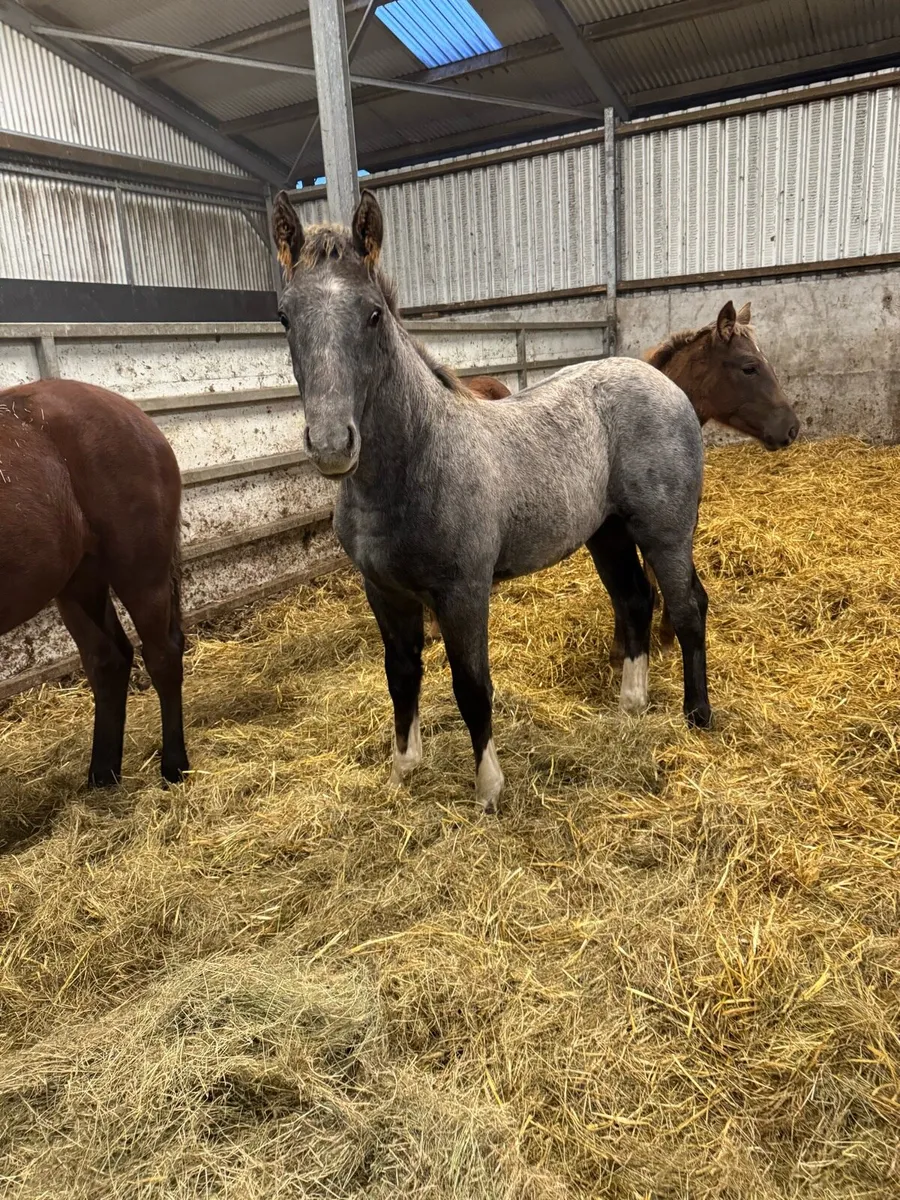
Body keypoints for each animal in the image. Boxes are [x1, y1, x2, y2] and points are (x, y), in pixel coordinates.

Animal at [0, 380, 188, 787]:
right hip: (79, 584)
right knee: (108, 661)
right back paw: (103, 773)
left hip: (140, 575)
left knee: (162, 656)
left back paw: (174, 765)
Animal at [272, 189, 710, 813]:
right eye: (285, 316)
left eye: (373, 313)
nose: (332, 444)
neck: (414, 464)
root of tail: (664, 384)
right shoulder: (383, 591)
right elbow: (400, 673)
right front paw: (404, 769)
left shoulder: (464, 591)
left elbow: (472, 685)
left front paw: (489, 789)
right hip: (607, 533)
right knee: (634, 600)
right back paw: (632, 703)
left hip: (665, 532)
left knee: (687, 605)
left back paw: (697, 716)